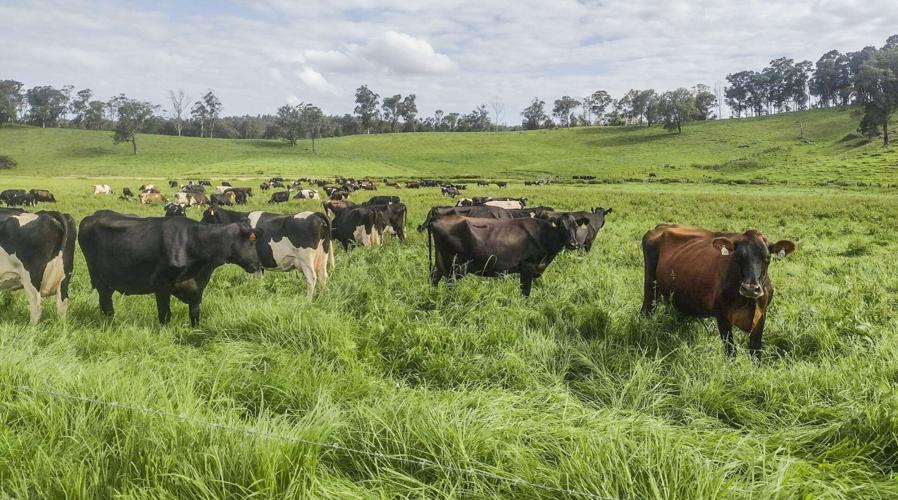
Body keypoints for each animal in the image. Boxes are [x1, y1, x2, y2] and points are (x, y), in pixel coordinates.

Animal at [78, 210, 260, 326]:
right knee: (106, 305)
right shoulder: (162, 285)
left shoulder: (197, 291)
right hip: (99, 279)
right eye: (252, 239)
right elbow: (165, 316)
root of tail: (92, 216)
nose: (258, 265)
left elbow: (195, 317)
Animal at [202, 207, 334, 300]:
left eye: (205, 217)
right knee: (323, 277)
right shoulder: (258, 265)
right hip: (323, 256)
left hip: (306, 260)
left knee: (311, 278)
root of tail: (314, 214)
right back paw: (323, 297)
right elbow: (259, 280)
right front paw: (259, 293)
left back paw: (308, 301)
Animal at [424, 214, 582, 296]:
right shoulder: (527, 266)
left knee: (434, 278)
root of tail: (436, 220)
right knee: (448, 283)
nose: (574, 244)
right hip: (453, 266)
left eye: (576, 226)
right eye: (562, 227)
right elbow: (525, 291)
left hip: (441, 263)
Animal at [640, 224, 796, 360]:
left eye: (767, 258)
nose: (750, 289)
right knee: (646, 310)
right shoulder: (722, 315)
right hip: (650, 284)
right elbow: (730, 351)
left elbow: (755, 351)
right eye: (738, 256)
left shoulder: (761, 315)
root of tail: (661, 227)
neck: (749, 302)